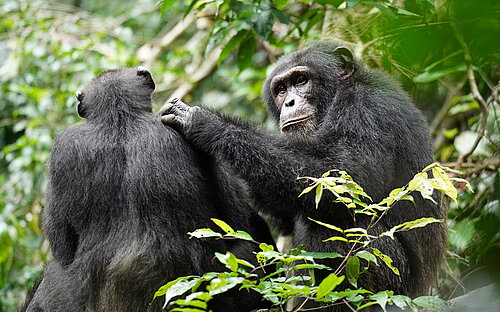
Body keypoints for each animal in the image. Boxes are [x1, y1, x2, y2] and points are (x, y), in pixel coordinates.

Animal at [162, 42, 448, 310]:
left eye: (301, 80)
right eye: (281, 89)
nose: (290, 102)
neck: (336, 96)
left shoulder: (368, 108)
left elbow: (345, 175)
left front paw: (206, 122)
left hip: (392, 286)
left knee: (332, 225)